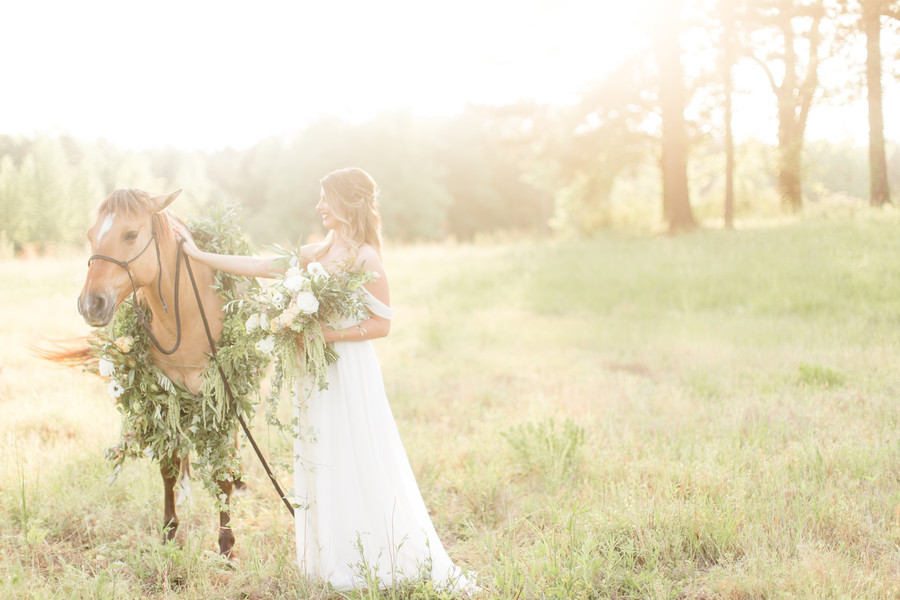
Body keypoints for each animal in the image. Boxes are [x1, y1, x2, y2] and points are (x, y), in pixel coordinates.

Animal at [59, 188, 243, 556]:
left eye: (130, 234)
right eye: (90, 235)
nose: (90, 304)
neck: (187, 319)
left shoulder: (222, 400)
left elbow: (222, 475)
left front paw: (226, 545)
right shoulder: (164, 399)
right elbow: (169, 468)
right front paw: (170, 530)